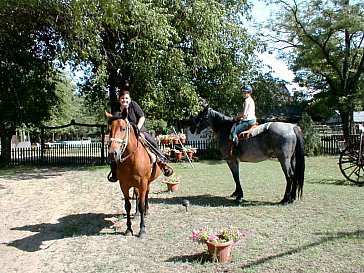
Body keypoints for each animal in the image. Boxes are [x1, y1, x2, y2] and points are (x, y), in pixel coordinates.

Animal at [107, 108, 160, 236]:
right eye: (109, 130)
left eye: (123, 128)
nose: (112, 153)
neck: (132, 159)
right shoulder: (124, 185)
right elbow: (127, 205)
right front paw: (129, 229)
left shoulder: (143, 183)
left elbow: (141, 204)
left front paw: (142, 229)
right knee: (136, 195)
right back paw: (136, 213)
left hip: (147, 182)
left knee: (146, 194)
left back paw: (146, 211)